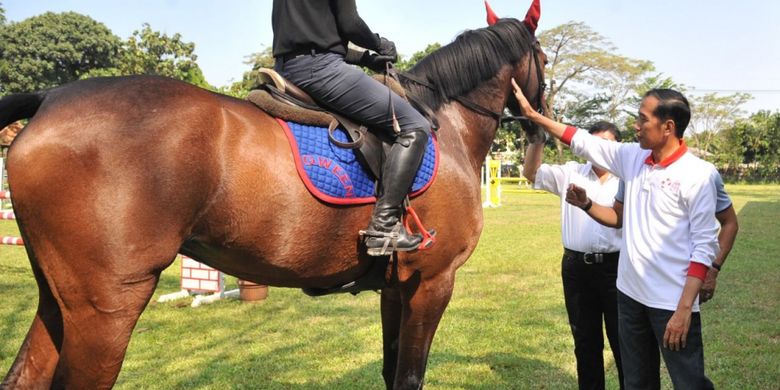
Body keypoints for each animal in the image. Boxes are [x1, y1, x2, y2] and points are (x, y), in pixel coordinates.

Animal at [0, 3, 548, 390]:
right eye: (543, 58)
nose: (540, 122)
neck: (443, 122)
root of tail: (51, 97)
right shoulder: (432, 282)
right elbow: (409, 377)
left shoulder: (398, 287)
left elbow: (391, 371)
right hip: (108, 308)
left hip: (62, 301)